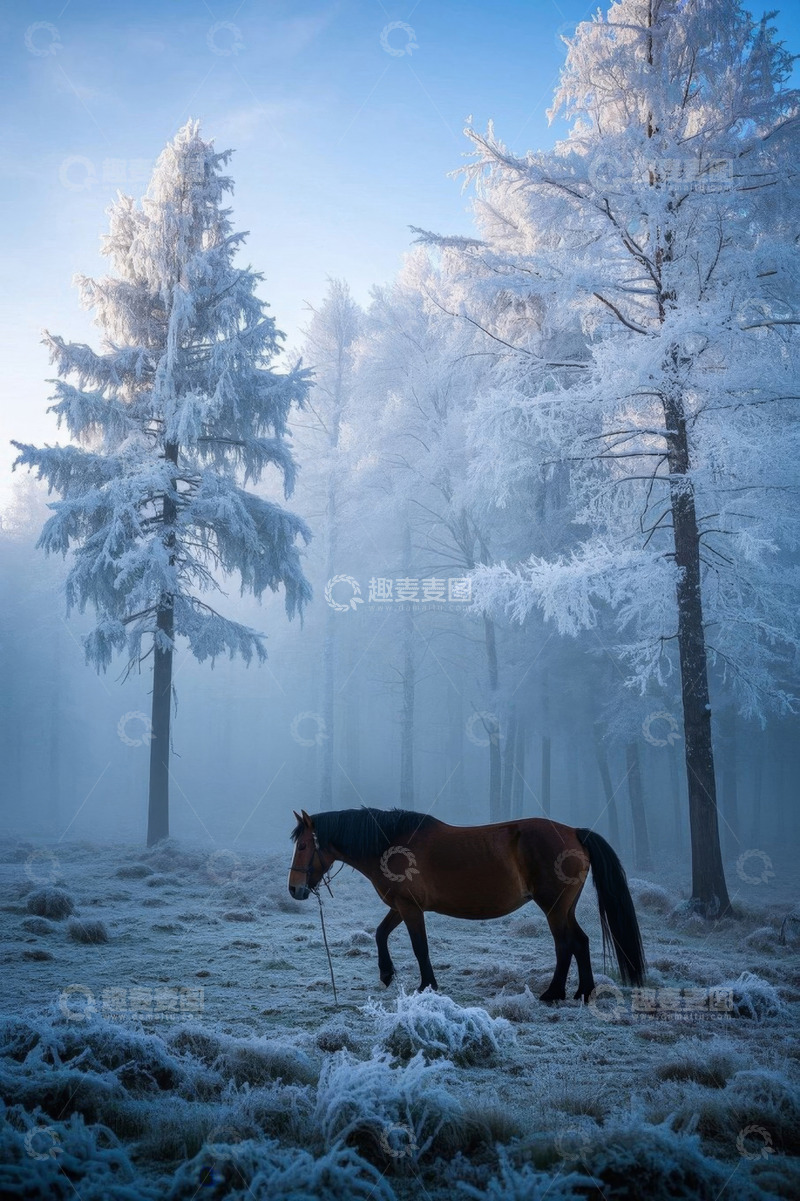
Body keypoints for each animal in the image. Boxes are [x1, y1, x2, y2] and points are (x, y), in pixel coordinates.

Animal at [288, 806, 644, 1002]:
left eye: (304, 846)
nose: (295, 890)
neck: (390, 845)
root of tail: (574, 832)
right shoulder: (400, 906)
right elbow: (380, 933)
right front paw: (387, 973)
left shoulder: (410, 908)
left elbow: (420, 947)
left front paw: (427, 986)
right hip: (564, 908)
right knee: (580, 942)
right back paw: (584, 991)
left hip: (554, 908)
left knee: (564, 945)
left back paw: (553, 993)